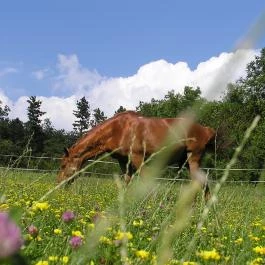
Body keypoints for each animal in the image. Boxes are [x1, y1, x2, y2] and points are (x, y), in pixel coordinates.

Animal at [56, 110, 214, 199]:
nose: (58, 184)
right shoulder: (124, 161)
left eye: (63, 165)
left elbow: (147, 181)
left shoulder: (137, 157)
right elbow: (127, 182)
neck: (118, 129)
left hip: (193, 159)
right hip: (185, 162)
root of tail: (206, 129)